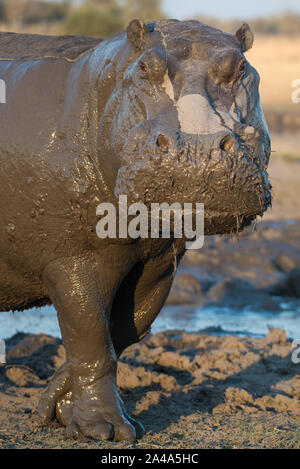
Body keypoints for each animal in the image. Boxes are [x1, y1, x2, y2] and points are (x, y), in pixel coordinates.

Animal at [0, 20, 272, 440]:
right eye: (144, 67)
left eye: (242, 67)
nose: (197, 148)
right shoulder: (69, 256)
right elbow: (91, 337)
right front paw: (106, 430)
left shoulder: (160, 261)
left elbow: (125, 330)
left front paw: (55, 410)